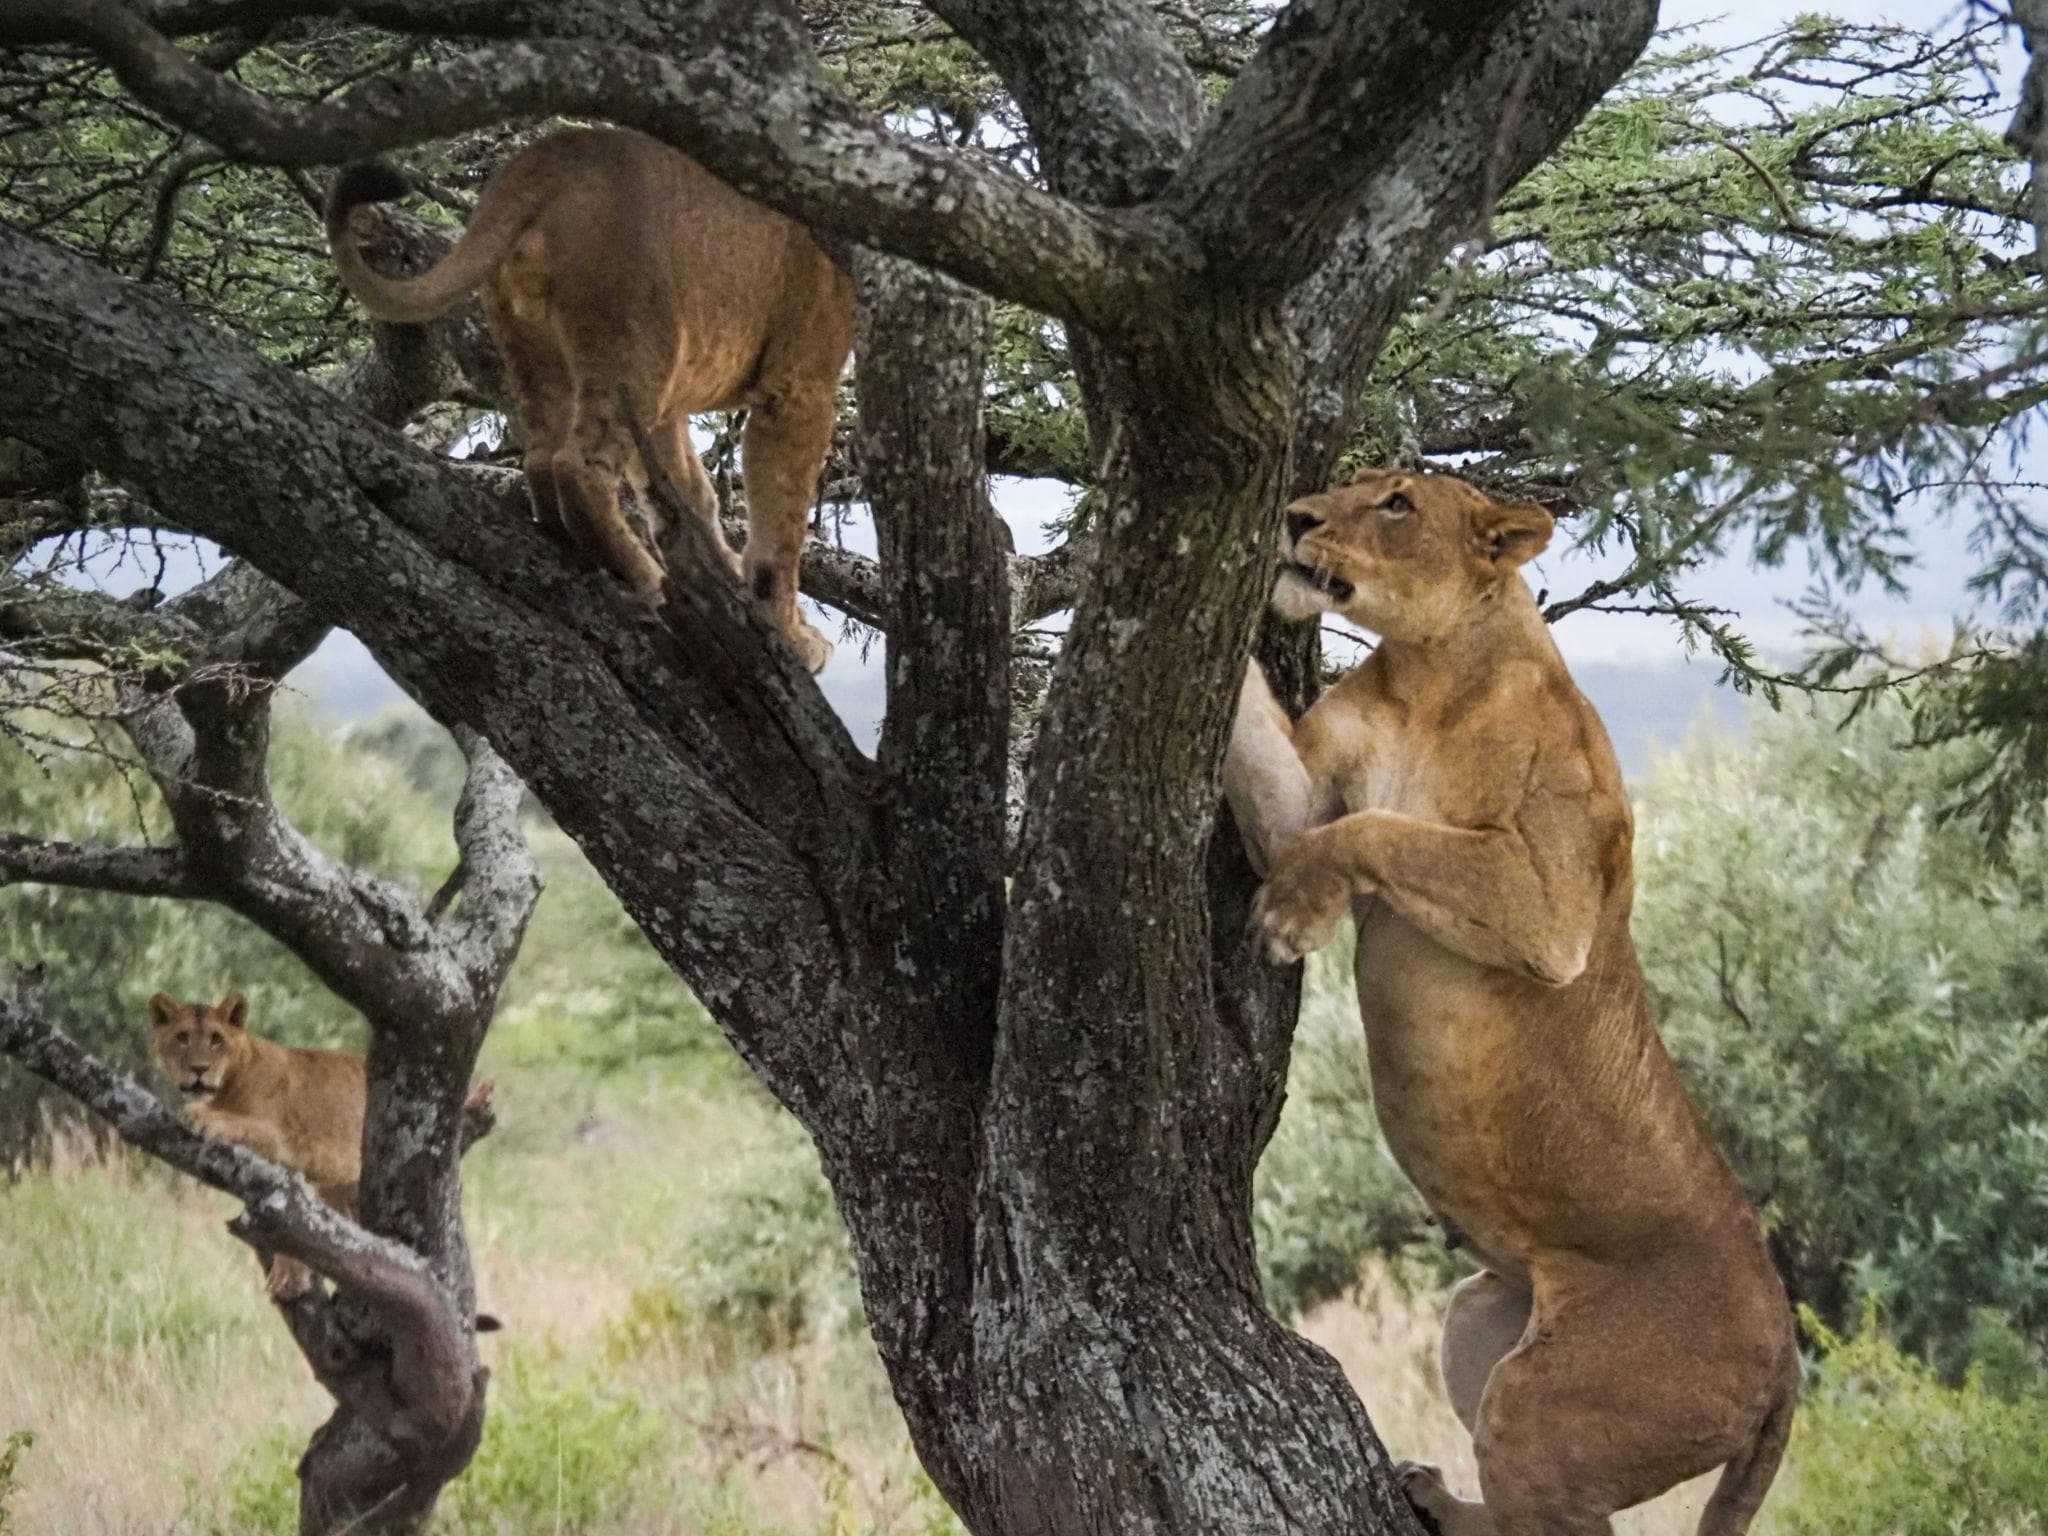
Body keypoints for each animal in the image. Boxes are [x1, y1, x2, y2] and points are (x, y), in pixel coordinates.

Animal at [325, 125, 853, 672]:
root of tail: (549, 157)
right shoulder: (797, 386)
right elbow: (780, 529)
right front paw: (790, 637)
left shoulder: (672, 409)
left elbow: (688, 494)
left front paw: (728, 589)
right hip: (635, 351)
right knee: (579, 467)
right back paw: (649, 581)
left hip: (542, 357)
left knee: (541, 459)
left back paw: (573, 549)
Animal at [1224, 469, 1797, 1536]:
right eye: (1356, 486)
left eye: (1397, 503)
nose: (1296, 516)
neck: (1427, 677)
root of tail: (1786, 1352)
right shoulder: (1299, 804)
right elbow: (1306, 794)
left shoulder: (1549, 903)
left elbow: (1384, 832)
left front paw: (1289, 916)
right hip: (1481, 1315)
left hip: (1550, 1395)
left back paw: (1434, 1499)